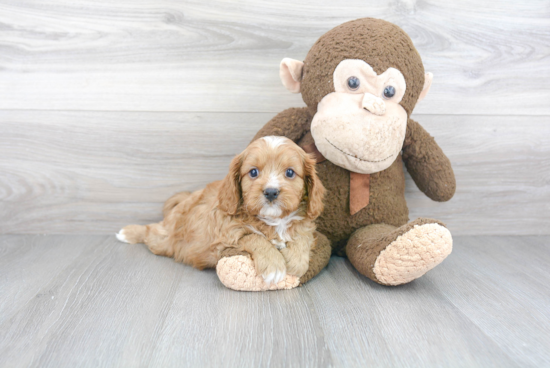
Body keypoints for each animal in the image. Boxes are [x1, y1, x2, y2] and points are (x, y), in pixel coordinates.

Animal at [116, 137, 324, 284]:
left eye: (290, 172)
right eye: (253, 172)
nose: (271, 192)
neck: (273, 221)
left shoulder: (305, 226)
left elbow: (302, 236)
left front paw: (296, 261)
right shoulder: (225, 237)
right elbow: (253, 237)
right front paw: (273, 265)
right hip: (165, 240)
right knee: (150, 231)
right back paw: (127, 232)